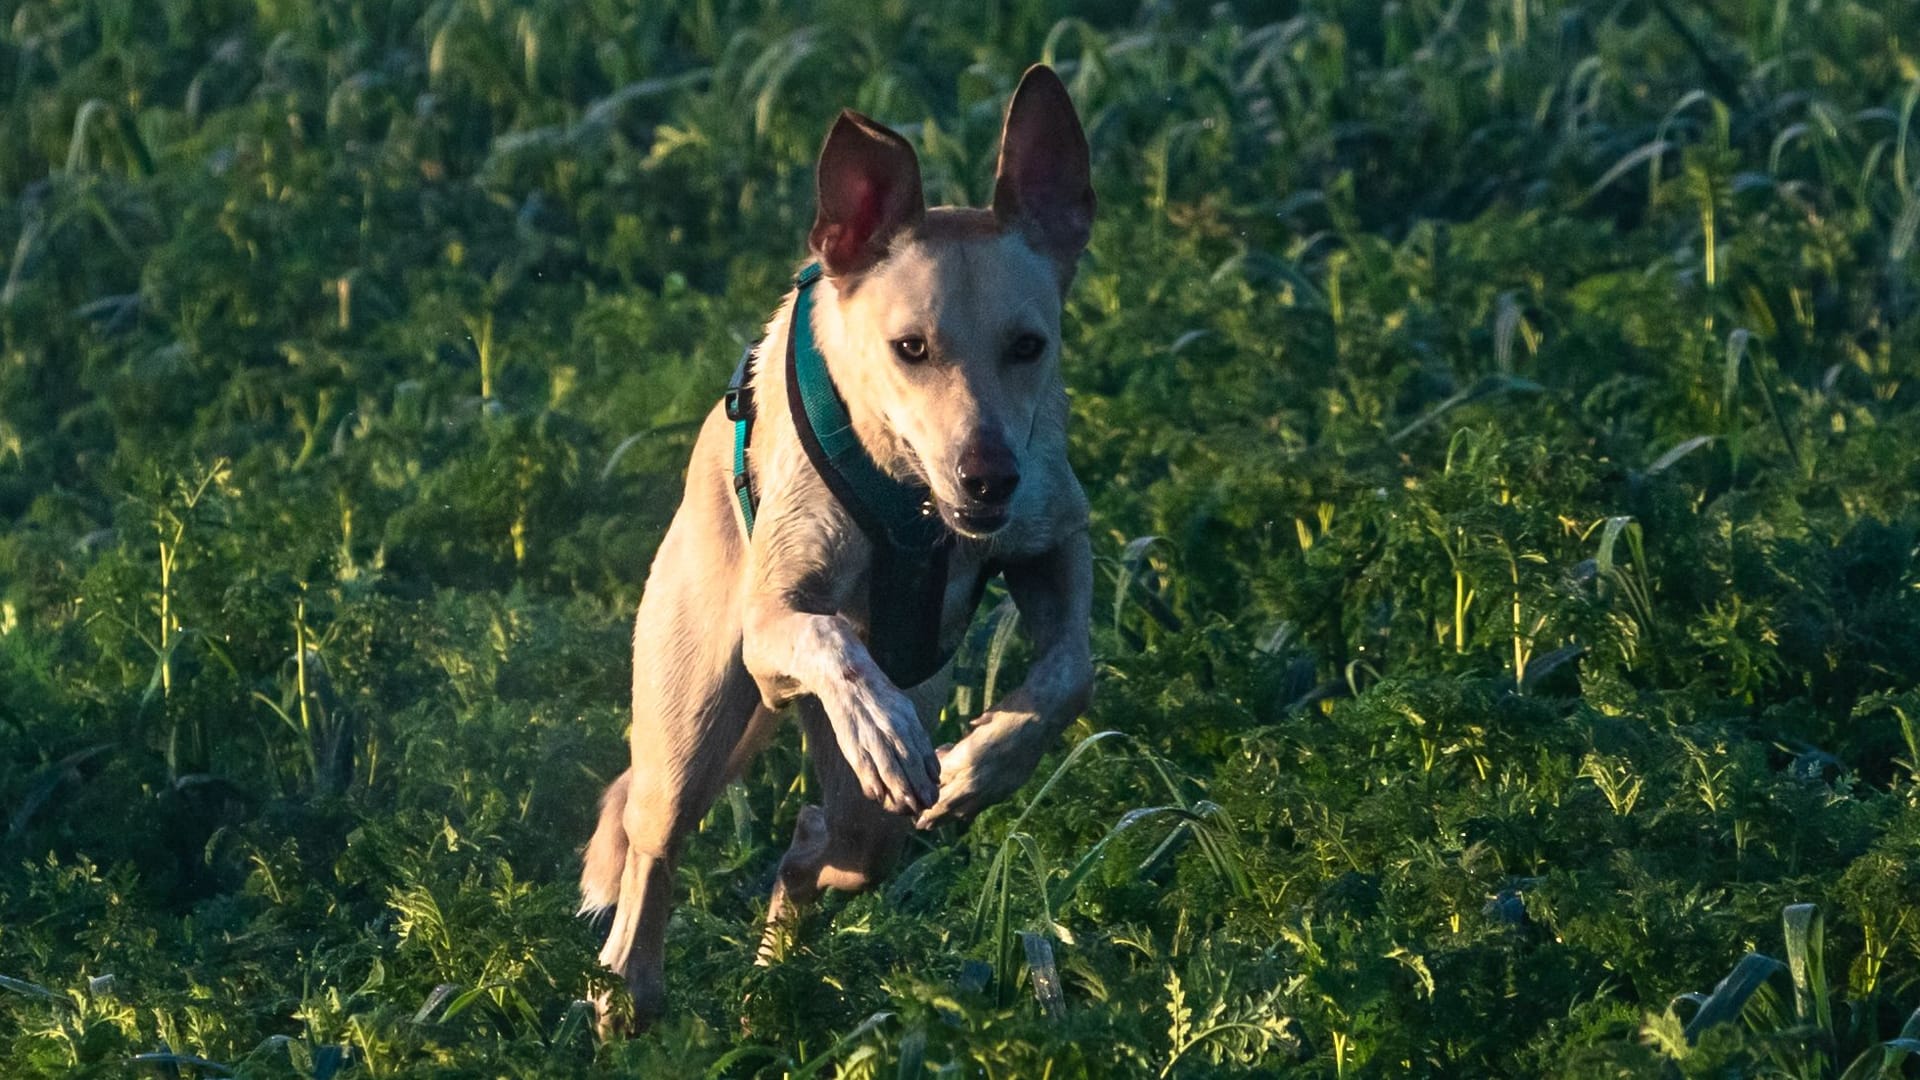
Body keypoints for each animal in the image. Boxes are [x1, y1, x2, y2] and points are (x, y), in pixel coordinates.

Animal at [576, 62, 1098, 1030]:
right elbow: (825, 636)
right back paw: (629, 991)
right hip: (690, 720)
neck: (914, 502)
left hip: (865, 824)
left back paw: (775, 971)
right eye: (910, 348)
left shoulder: (1054, 533)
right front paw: (881, 727)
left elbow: (1070, 672)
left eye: (1028, 346)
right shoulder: (776, 618)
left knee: (824, 840)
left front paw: (982, 764)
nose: (988, 479)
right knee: (652, 847)